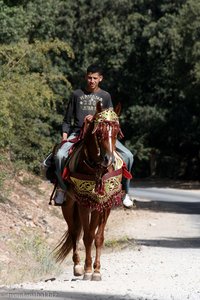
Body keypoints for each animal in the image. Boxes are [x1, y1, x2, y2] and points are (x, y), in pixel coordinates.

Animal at [53, 102, 128, 280]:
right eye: (99, 132)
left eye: (117, 131)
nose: (109, 159)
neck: (96, 169)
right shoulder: (84, 204)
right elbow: (87, 236)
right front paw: (88, 270)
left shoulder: (104, 204)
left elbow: (98, 237)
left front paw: (97, 271)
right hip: (68, 205)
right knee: (74, 232)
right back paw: (78, 266)